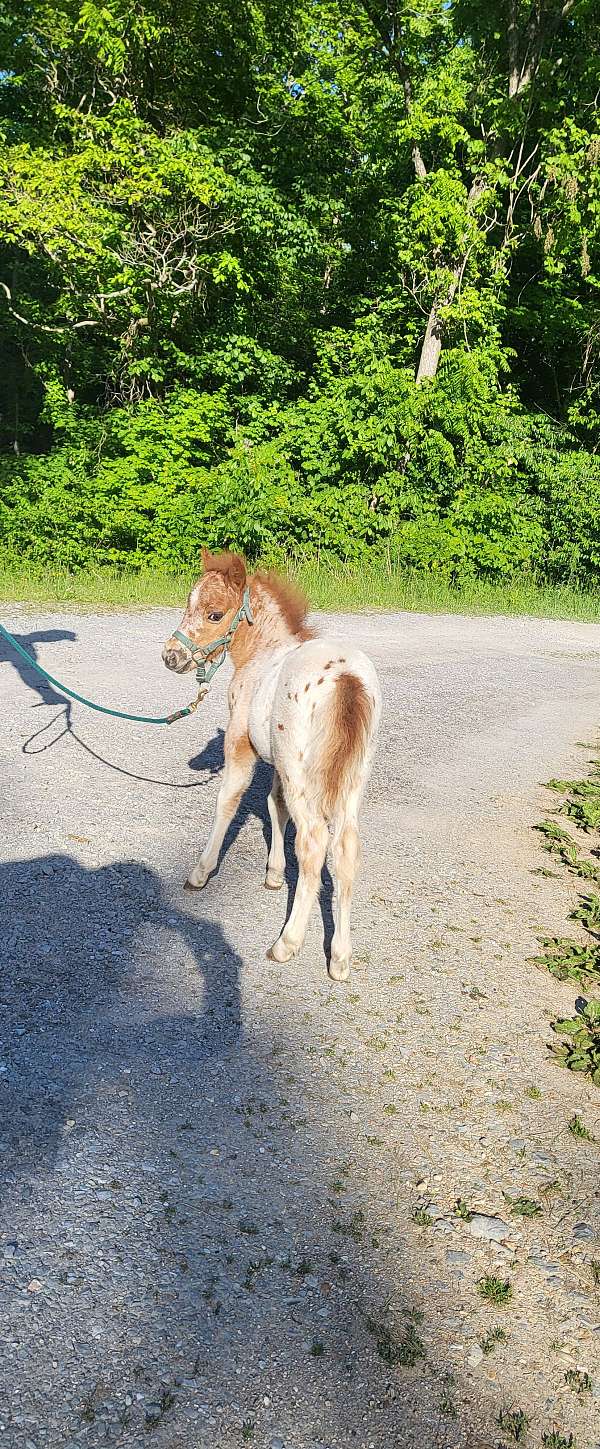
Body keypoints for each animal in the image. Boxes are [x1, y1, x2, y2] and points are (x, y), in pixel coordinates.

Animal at [162, 550, 381, 981]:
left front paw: (201, 872)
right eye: (187, 604)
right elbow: (273, 805)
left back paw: (287, 943)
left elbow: (229, 801)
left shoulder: (240, 746)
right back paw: (340, 957)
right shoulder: (278, 764)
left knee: (314, 842)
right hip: (351, 782)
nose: (171, 657)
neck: (263, 654)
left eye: (214, 614)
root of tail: (346, 676)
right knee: (345, 849)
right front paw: (275, 874)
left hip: (306, 776)